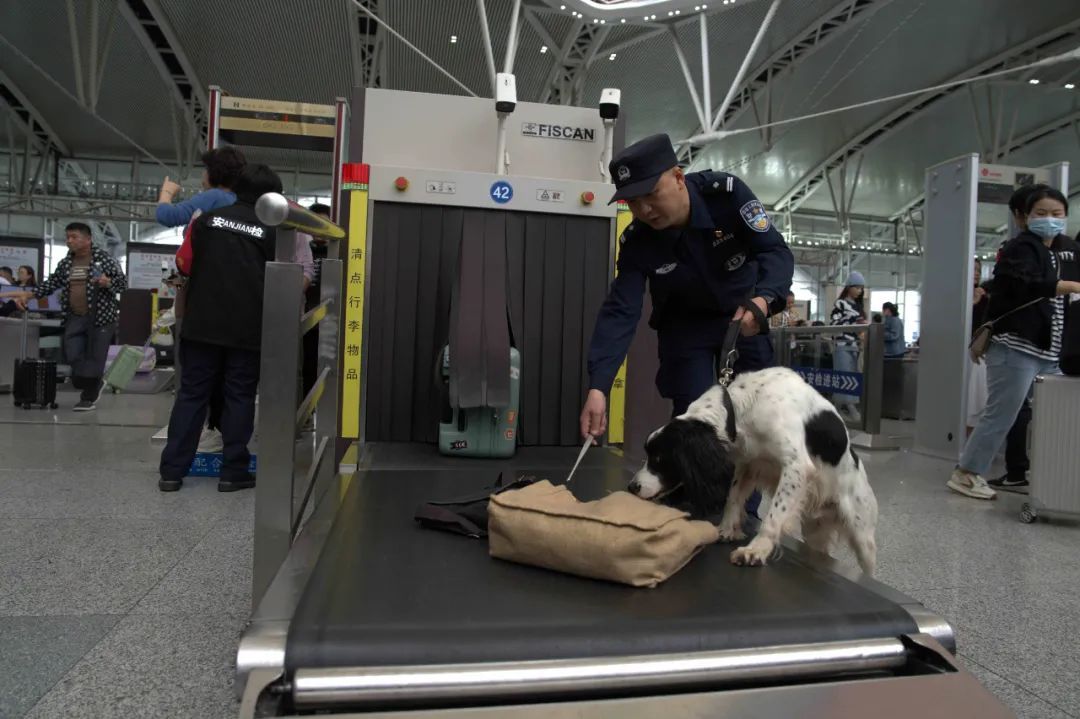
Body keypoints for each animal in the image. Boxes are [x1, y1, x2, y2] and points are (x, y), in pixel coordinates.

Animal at [630, 367, 876, 574]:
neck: (742, 407)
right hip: (814, 531)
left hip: (862, 537)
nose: (632, 487)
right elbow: (733, 498)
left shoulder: (795, 466)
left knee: (868, 567)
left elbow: (774, 516)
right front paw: (726, 530)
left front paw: (756, 550)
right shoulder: (746, 464)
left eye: (659, 458)